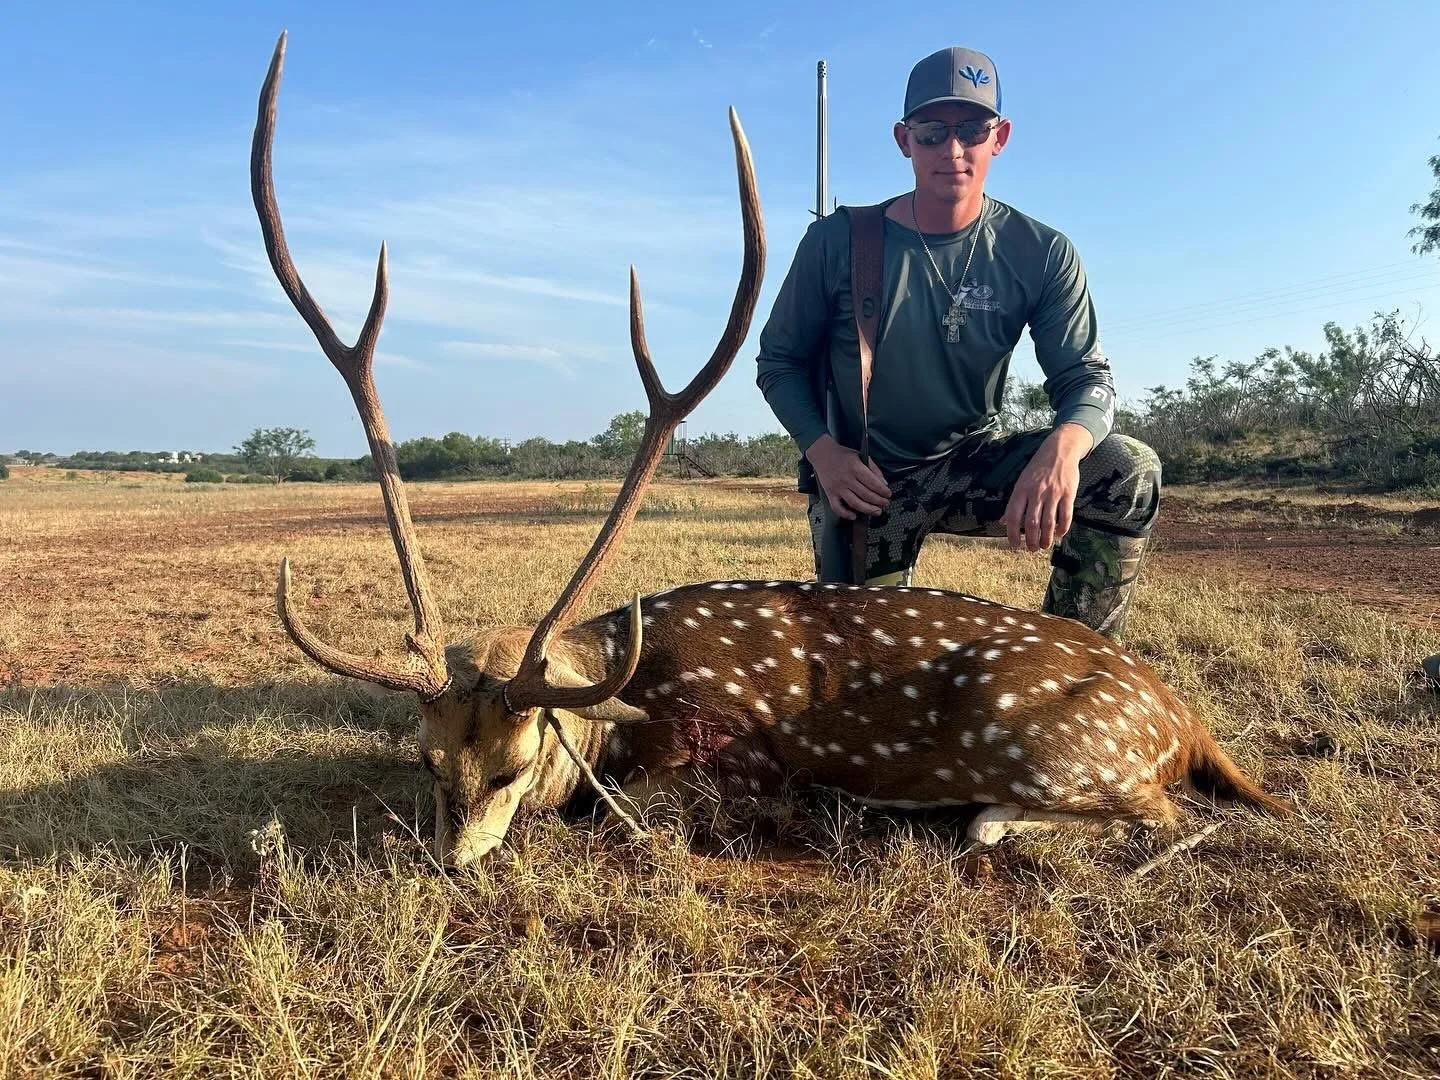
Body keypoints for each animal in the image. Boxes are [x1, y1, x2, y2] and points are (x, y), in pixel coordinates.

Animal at [252, 33, 1290, 871]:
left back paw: (987, 814)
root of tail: (1186, 718)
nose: (451, 863)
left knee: (1156, 813)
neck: (626, 684)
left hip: (1065, 745)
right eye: (430, 759)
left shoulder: (724, 754)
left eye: (514, 763)